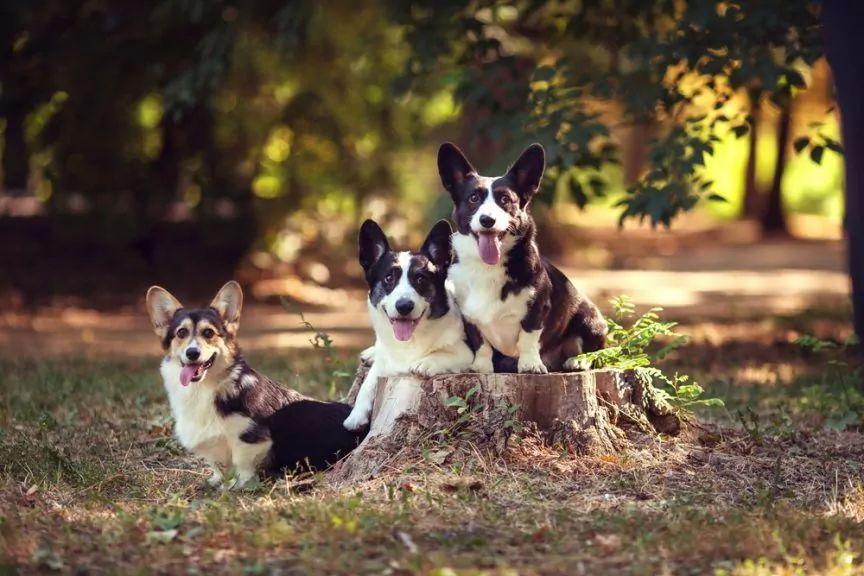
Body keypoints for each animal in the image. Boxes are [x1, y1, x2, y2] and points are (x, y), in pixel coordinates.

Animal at [147, 282, 362, 488]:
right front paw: (216, 481)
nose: (192, 353)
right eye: (181, 332)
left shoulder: (250, 439)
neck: (204, 388)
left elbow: (243, 466)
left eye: (208, 332)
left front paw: (237, 487)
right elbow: (217, 465)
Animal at [342, 220, 480, 432]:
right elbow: (369, 381)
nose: (404, 306)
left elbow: (444, 354)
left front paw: (426, 362)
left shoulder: (467, 353)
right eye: (389, 278)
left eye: (420, 279)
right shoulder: (384, 363)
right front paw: (356, 415)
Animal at [436, 144, 604, 374]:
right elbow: (481, 343)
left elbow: (527, 338)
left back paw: (579, 360)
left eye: (505, 200)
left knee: (596, 350)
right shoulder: (469, 317)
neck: (487, 268)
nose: (487, 220)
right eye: (473, 198)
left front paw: (530, 364)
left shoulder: (536, 309)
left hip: (589, 318)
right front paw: (481, 367)